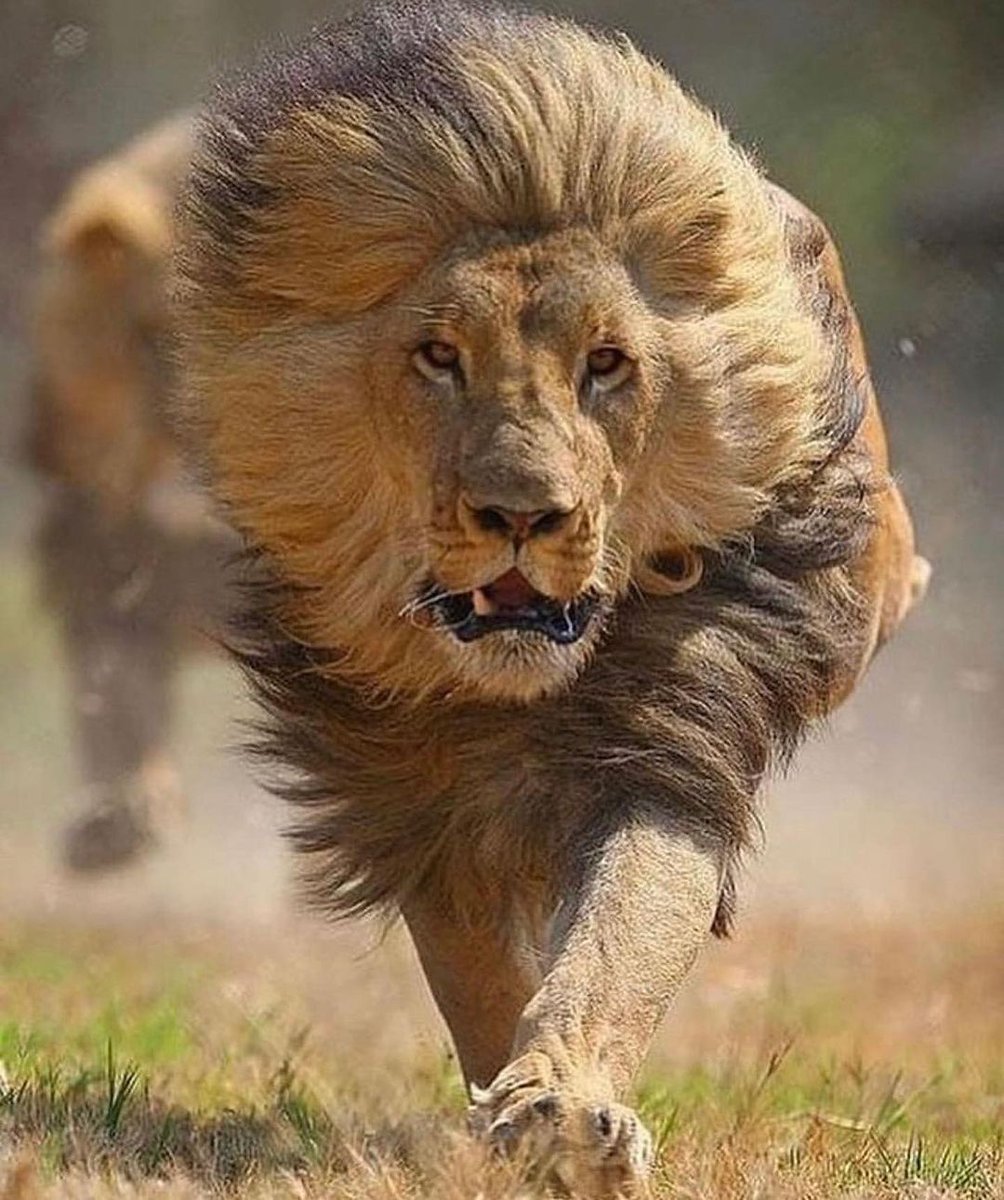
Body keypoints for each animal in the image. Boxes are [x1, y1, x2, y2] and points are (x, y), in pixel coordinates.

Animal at [174, 3, 928, 1193]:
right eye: (439, 356)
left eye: (606, 364)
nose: (523, 514)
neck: (510, 688)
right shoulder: (413, 791)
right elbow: (480, 974)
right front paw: (525, 1123)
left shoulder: (667, 739)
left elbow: (618, 939)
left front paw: (561, 1115)